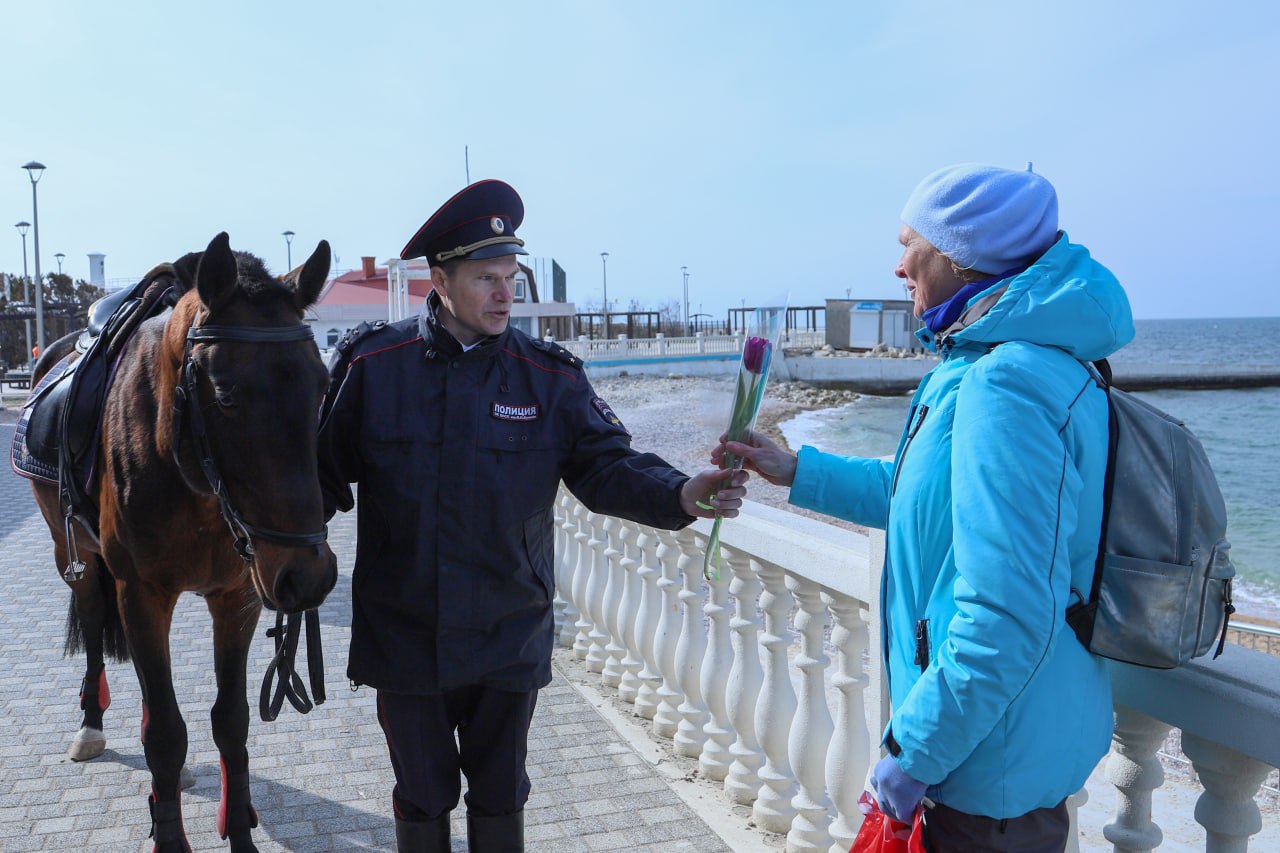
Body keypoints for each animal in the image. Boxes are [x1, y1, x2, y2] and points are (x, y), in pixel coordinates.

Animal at [30, 229, 340, 845]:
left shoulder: (238, 597)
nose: (308, 575)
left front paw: (238, 826)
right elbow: (167, 736)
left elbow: (231, 722)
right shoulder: (143, 593)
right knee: (95, 622)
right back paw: (90, 723)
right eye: (224, 394)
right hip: (70, 553)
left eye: (321, 385)